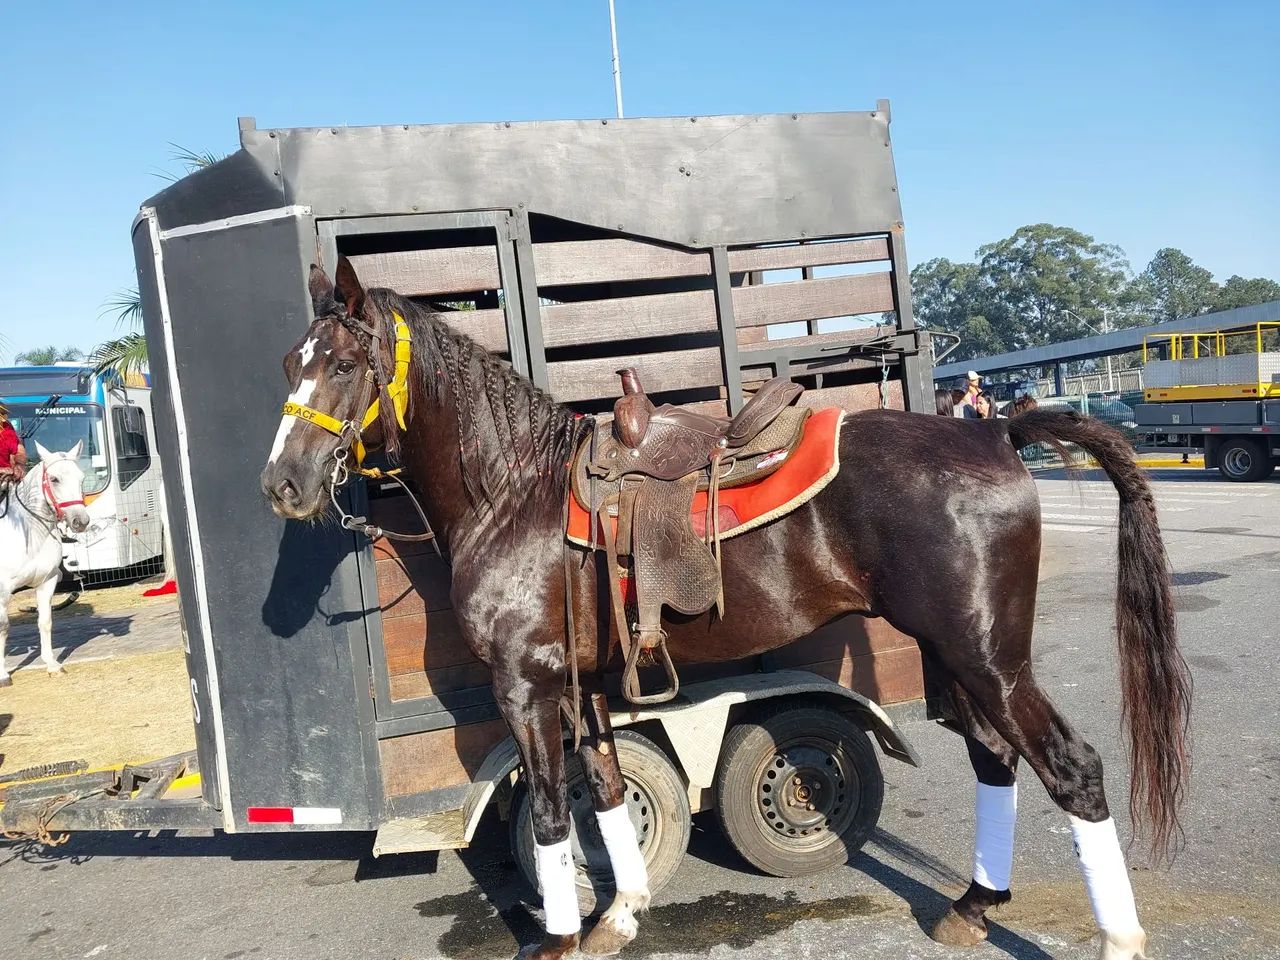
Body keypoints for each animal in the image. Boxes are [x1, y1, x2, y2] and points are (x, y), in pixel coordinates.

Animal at [0, 442, 90, 686]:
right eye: (54, 479)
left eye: (81, 478)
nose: (80, 521)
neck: (29, 532)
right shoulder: (3, 591)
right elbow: (3, 627)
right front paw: (2, 675)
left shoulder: (46, 582)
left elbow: (45, 621)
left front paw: (52, 664)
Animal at [261, 260, 1190, 960]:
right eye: (287, 363)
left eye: (341, 364)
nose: (284, 485)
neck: (515, 493)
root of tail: (993, 432)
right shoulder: (583, 684)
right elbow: (604, 788)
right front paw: (621, 913)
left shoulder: (525, 686)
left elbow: (555, 814)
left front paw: (559, 939)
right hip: (957, 655)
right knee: (996, 759)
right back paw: (971, 905)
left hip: (989, 657)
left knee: (1071, 768)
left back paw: (1117, 937)